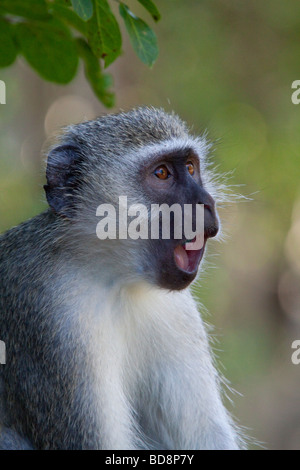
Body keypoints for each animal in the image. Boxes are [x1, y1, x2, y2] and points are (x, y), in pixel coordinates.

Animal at [0, 107, 241, 452]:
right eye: (162, 174)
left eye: (191, 168)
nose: (206, 202)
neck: (115, 280)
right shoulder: (51, 317)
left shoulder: (178, 312)